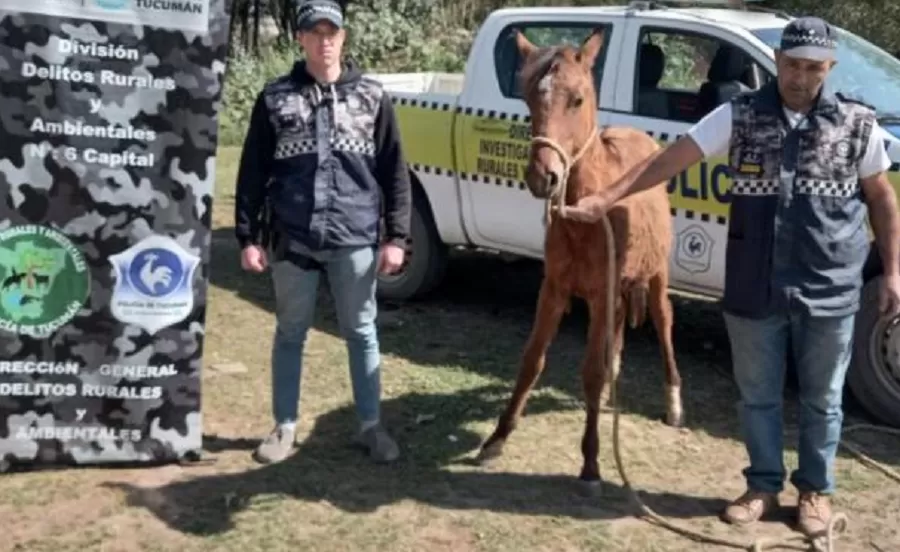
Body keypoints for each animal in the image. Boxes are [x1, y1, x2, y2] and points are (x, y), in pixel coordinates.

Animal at [478, 28, 684, 486]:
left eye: (577, 99)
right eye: (528, 99)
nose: (543, 177)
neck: (584, 212)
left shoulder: (600, 294)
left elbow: (589, 372)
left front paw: (591, 463)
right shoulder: (554, 289)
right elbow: (531, 361)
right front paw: (497, 438)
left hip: (656, 275)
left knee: (664, 322)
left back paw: (674, 403)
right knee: (619, 335)